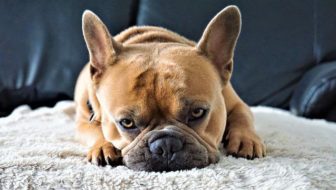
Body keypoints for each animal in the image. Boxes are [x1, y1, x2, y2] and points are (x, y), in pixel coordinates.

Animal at [75, 5, 266, 172]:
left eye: (198, 112)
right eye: (126, 122)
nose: (166, 144)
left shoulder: (236, 103)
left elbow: (242, 116)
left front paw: (246, 139)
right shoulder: (83, 121)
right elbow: (94, 130)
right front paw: (103, 146)